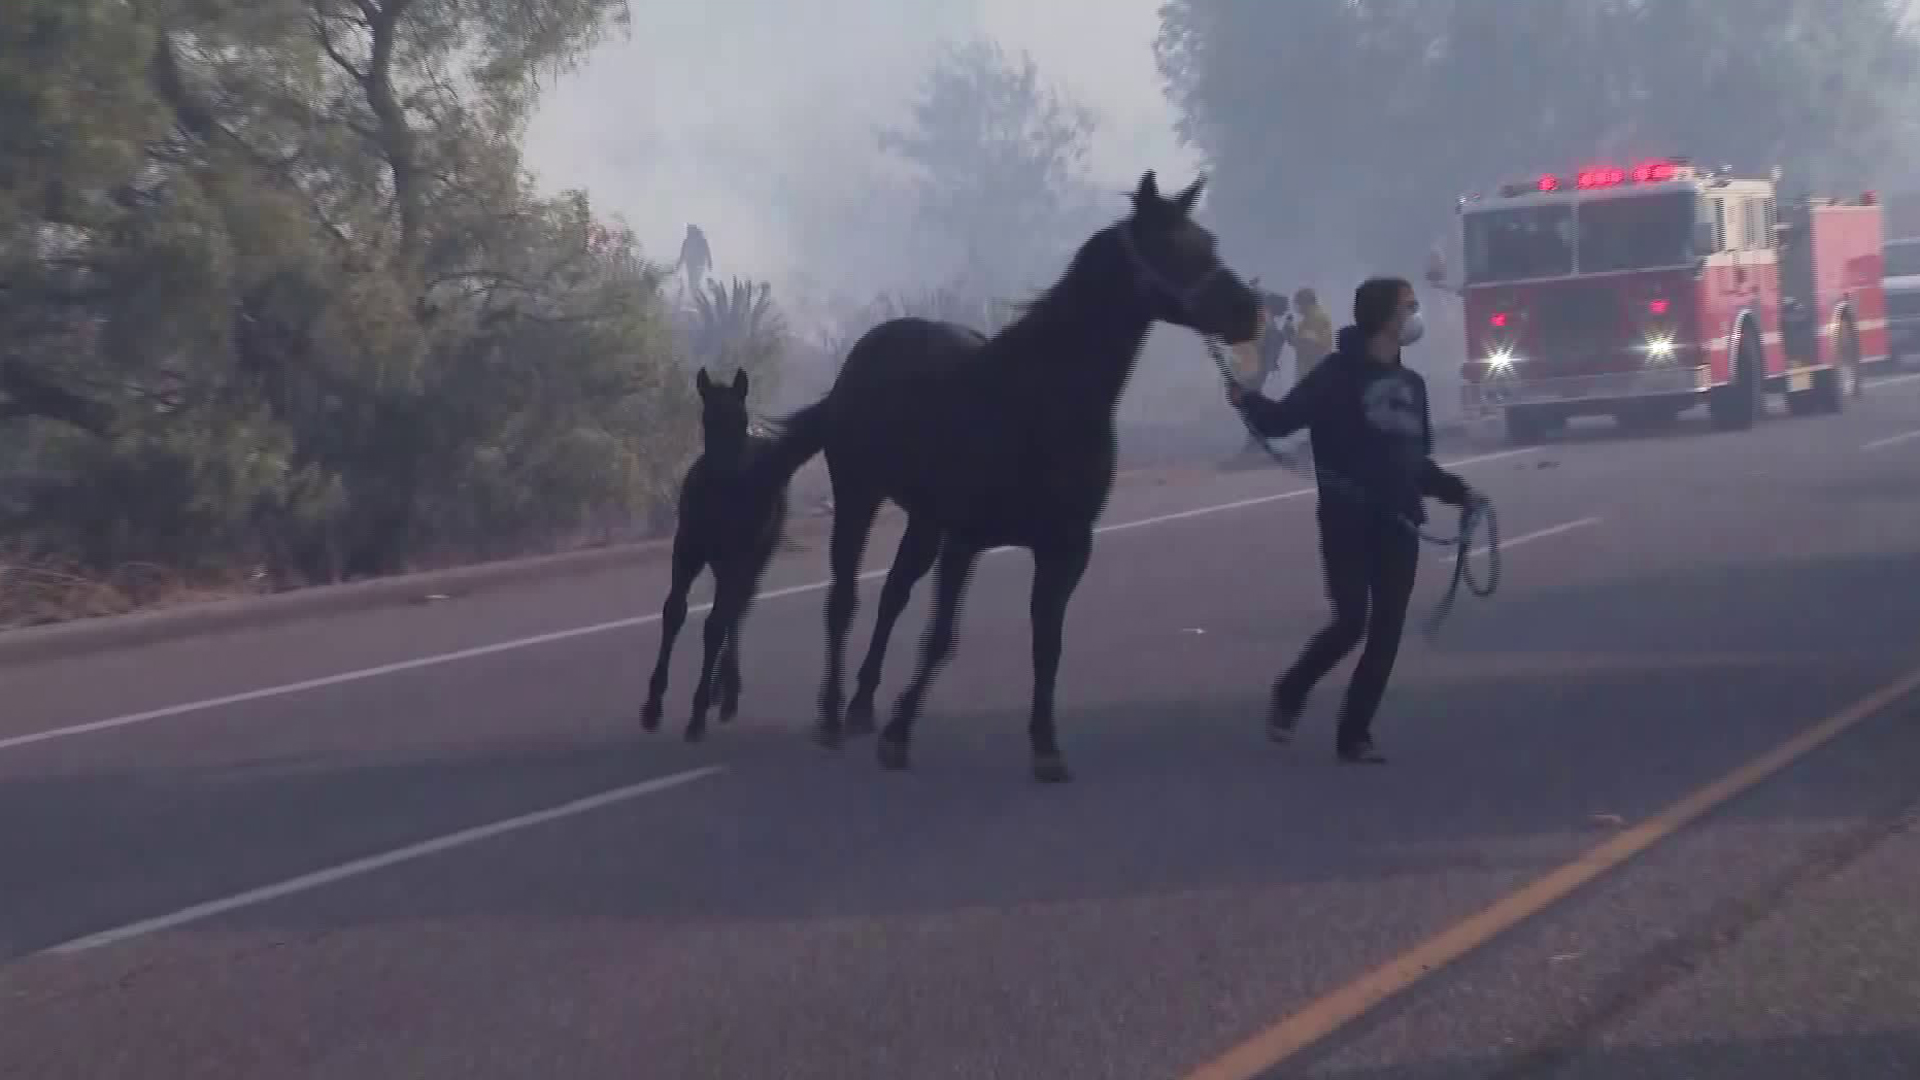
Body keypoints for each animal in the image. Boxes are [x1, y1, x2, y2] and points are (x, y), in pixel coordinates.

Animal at [641, 365, 783, 734]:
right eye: (707, 418)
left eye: (740, 417)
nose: (726, 471)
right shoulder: (687, 550)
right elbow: (674, 611)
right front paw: (652, 706)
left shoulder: (736, 557)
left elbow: (714, 624)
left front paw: (697, 711)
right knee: (733, 610)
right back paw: (724, 692)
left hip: (754, 557)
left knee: (736, 610)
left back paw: (727, 694)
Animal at [756, 174, 1267, 780]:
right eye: (1173, 248)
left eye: (1208, 242)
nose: (1252, 312)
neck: (1034, 401)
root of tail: (859, 360)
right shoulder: (966, 541)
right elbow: (941, 639)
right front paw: (899, 734)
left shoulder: (1066, 547)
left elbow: (1047, 643)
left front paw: (1045, 745)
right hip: (860, 496)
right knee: (844, 599)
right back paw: (833, 715)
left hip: (924, 521)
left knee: (894, 595)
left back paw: (861, 705)